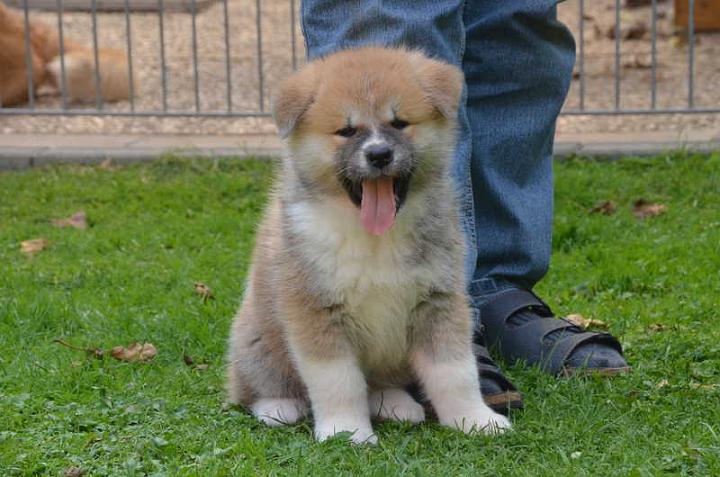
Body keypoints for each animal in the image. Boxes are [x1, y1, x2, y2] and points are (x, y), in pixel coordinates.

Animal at [227, 47, 511, 444]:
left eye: (399, 123)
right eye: (346, 131)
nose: (379, 155)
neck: (377, 237)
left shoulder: (439, 301)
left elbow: (456, 373)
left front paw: (474, 419)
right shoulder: (316, 310)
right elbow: (339, 382)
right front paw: (346, 432)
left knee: (377, 384)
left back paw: (396, 404)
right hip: (256, 339)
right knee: (254, 387)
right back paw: (278, 407)